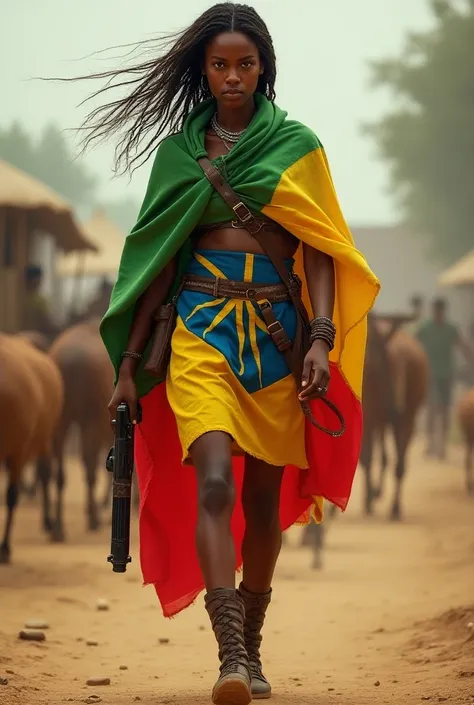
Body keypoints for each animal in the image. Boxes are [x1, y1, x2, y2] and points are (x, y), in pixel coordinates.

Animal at [0, 334, 63, 560]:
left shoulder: (19, 451)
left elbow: (11, 495)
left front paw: (5, 548)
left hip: (46, 439)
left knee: (46, 474)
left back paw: (52, 525)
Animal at [46, 320, 114, 540]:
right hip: (91, 412)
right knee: (89, 465)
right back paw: (92, 519)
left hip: (62, 414)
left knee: (60, 472)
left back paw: (58, 528)